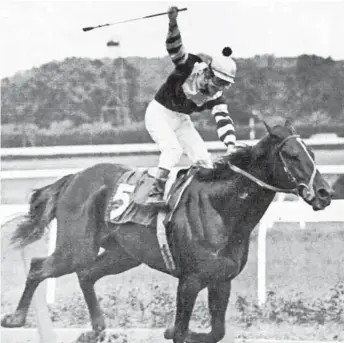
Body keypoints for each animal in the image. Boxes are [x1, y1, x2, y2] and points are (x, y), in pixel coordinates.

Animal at [1, 121, 332, 343]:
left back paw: (95, 329)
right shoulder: (190, 280)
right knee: (39, 267)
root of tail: (74, 177)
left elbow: (215, 331)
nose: (325, 193)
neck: (222, 209)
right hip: (77, 248)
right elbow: (183, 329)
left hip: (123, 255)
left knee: (86, 275)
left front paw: (171, 328)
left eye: (313, 154)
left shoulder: (221, 280)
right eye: (292, 155)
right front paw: (174, 327)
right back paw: (15, 318)